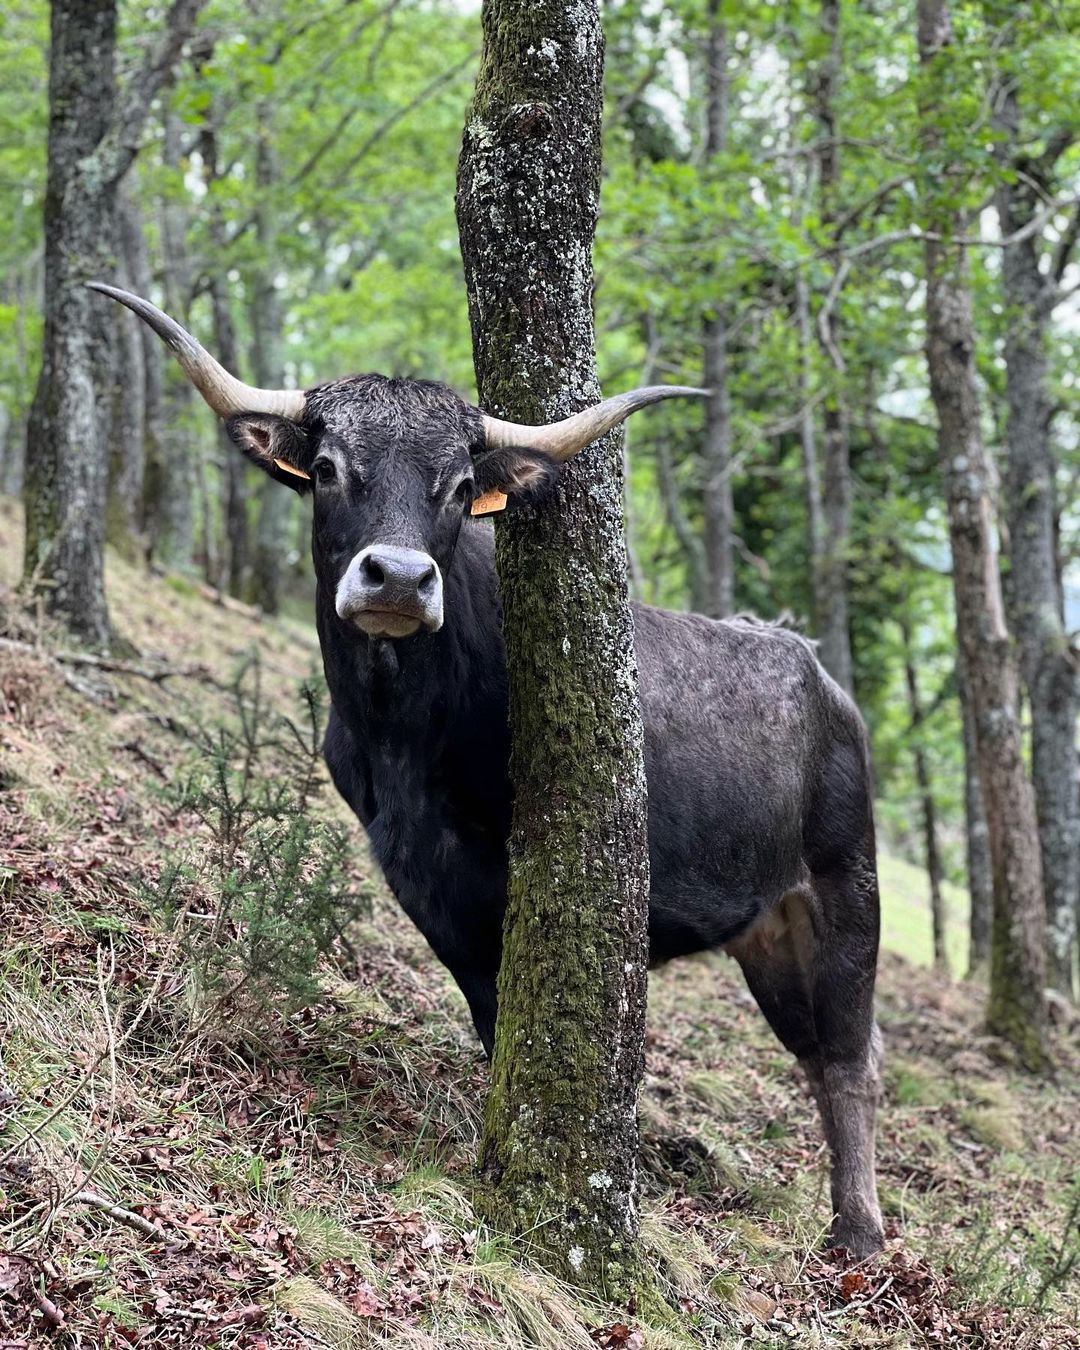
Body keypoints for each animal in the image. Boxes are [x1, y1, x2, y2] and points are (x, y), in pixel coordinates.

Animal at [93, 282, 880, 1252]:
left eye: (463, 487)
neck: (402, 736)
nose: (397, 579)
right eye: (328, 468)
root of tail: (818, 674)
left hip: (847, 891)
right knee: (816, 1053)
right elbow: (489, 1017)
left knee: (851, 1059)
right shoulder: (430, 886)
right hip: (769, 933)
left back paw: (860, 1236)